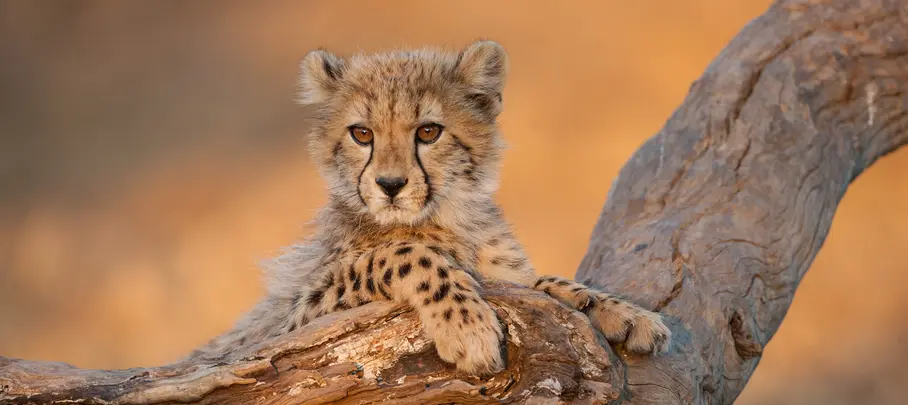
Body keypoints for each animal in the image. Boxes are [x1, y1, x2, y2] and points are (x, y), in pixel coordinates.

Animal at [188, 40, 671, 375]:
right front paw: (466, 326)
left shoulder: (510, 278)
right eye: (362, 134)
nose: (390, 185)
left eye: (428, 132)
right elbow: (404, 254)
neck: (444, 218)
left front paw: (622, 311)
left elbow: (540, 282)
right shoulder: (296, 323)